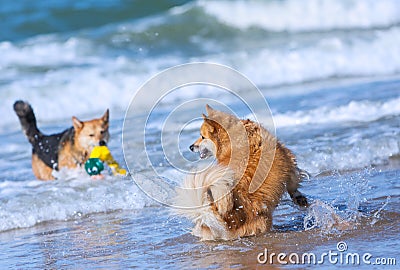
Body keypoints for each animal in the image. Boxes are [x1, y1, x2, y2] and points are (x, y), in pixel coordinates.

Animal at [174, 105, 306, 240]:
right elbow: (293, 183)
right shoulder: (288, 159)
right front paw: (300, 199)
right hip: (264, 219)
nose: (191, 147)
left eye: (202, 137)